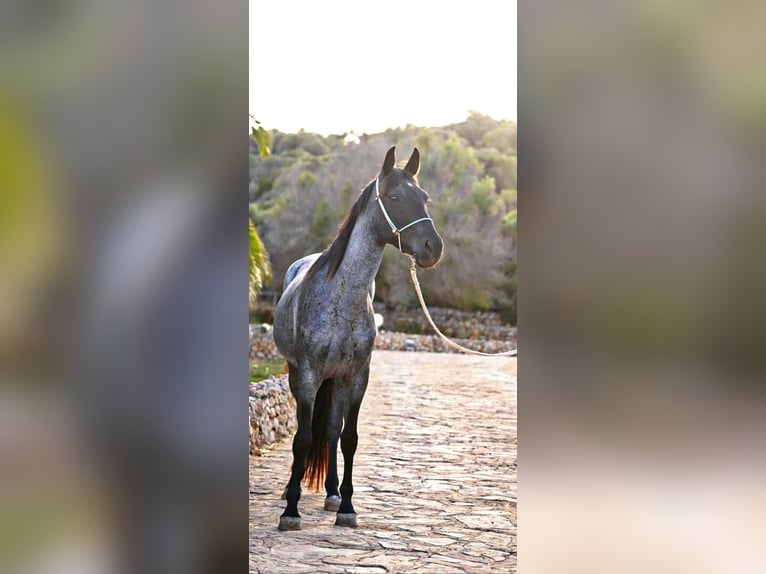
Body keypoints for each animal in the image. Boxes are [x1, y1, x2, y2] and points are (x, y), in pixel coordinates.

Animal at [272, 146, 444, 531]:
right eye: (394, 197)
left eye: (424, 197)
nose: (433, 247)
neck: (340, 298)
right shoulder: (308, 376)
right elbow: (302, 438)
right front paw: (291, 510)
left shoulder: (357, 377)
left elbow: (348, 438)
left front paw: (347, 507)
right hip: (297, 374)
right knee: (308, 433)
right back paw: (292, 488)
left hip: (335, 380)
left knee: (331, 430)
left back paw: (333, 494)